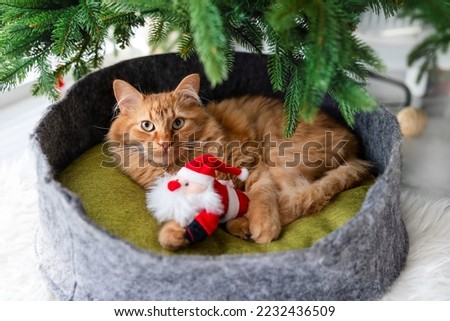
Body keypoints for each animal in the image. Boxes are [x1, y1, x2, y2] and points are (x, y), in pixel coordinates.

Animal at [107, 74, 370, 249]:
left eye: (178, 123)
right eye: (147, 126)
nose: (165, 143)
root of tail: (354, 146)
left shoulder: (254, 166)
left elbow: (262, 197)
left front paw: (263, 226)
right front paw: (173, 234)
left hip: (283, 159)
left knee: (299, 199)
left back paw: (244, 226)